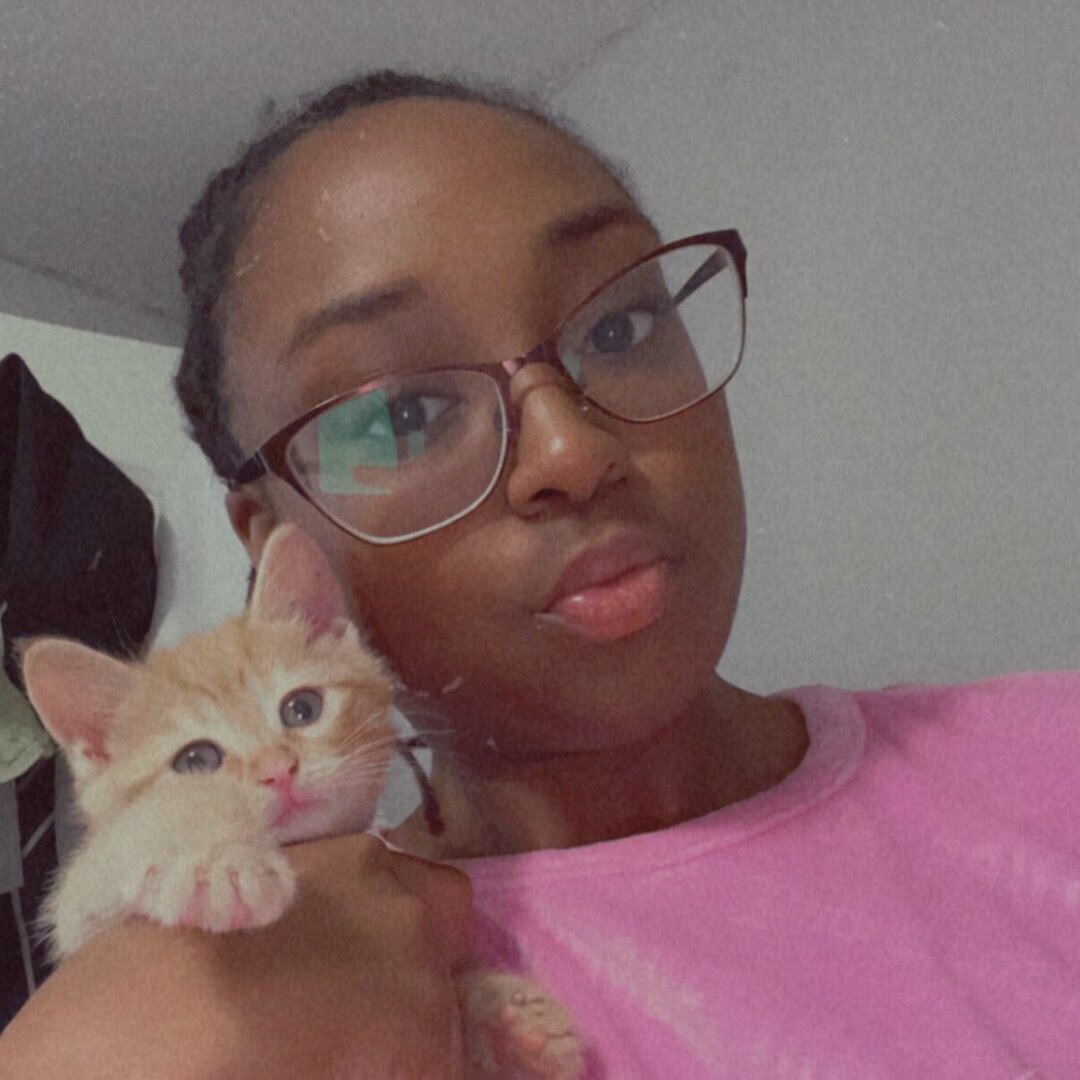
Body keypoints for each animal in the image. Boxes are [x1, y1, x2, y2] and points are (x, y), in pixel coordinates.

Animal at [21, 523, 584, 1080]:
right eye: (196, 760)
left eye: (302, 708)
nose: (278, 770)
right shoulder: (80, 917)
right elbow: (134, 839)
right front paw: (222, 860)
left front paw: (504, 1017)